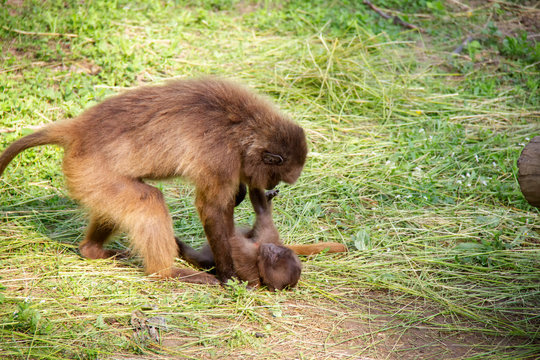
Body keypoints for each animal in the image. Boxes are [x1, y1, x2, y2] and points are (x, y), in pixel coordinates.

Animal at [0, 78, 306, 284]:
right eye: (276, 176)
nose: (267, 188)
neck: (246, 126)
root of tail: (78, 129)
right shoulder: (222, 155)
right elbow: (211, 209)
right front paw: (228, 273)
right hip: (89, 169)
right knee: (149, 200)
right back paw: (167, 273)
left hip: (92, 179)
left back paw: (92, 251)